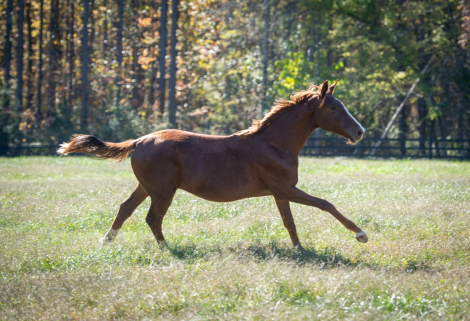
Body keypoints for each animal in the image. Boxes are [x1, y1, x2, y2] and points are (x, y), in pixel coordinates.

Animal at [57, 80, 368, 250]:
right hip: (163, 192)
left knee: (125, 209)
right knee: (152, 218)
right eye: (333, 107)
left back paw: (105, 242)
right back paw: (167, 249)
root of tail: (139, 140)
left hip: (147, 187)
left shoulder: (281, 193)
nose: (359, 132)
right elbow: (325, 204)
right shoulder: (285, 189)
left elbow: (289, 223)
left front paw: (299, 250)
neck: (274, 144)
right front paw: (360, 234)